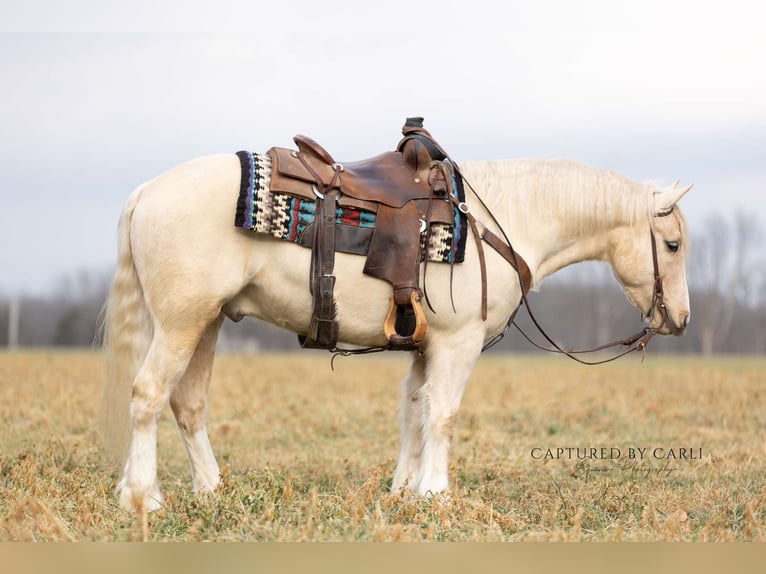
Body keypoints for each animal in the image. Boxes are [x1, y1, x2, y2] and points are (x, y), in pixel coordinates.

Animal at [99, 150, 692, 516]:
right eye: (673, 245)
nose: (681, 320)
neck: (499, 221)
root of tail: (148, 190)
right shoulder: (457, 343)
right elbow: (443, 414)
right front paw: (436, 494)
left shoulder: (425, 346)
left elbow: (415, 412)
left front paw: (405, 491)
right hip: (182, 321)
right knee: (148, 395)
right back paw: (144, 497)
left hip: (209, 321)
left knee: (187, 404)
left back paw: (207, 490)